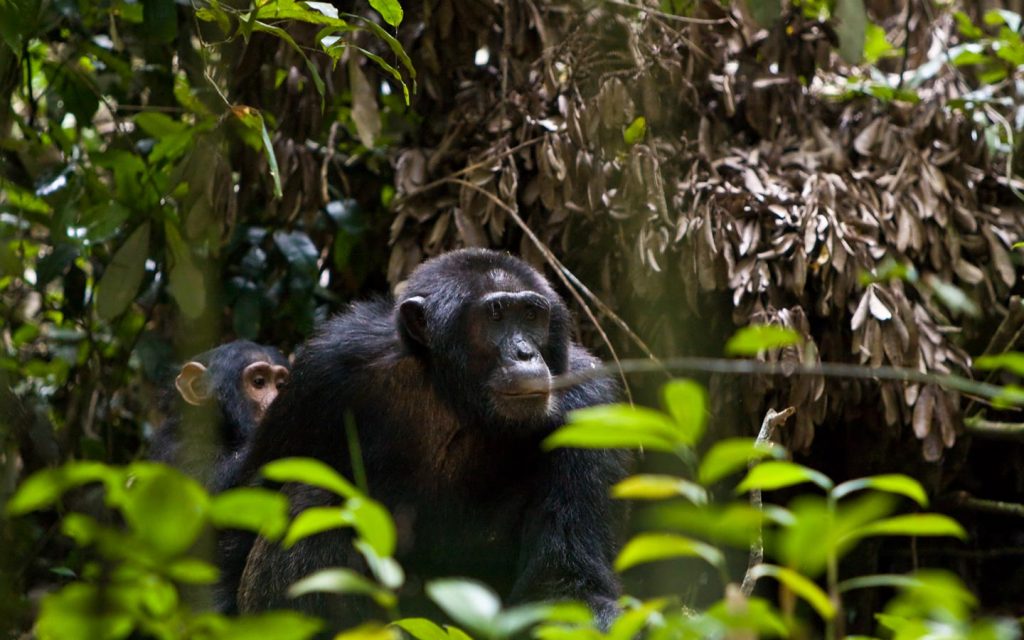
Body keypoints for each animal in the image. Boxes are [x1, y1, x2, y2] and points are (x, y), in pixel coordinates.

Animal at [224, 250, 622, 630]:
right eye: (495, 315)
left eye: (531, 315)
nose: (525, 353)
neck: (453, 398)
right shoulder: (322, 372)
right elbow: (243, 513)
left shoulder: (590, 405)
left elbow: (563, 583)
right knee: (313, 497)